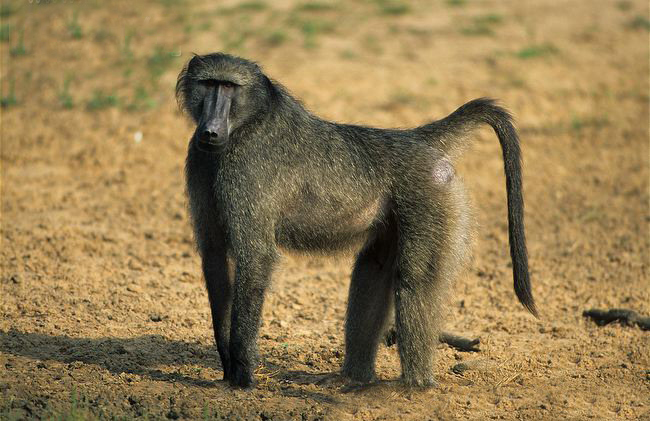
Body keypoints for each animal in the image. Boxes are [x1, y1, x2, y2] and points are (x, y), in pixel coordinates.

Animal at [176, 52, 537, 389]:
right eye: (208, 84)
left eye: (229, 87)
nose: (210, 130)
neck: (250, 120)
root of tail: (416, 140)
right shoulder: (199, 159)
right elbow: (216, 256)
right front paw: (227, 366)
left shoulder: (245, 165)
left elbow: (255, 257)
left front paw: (243, 373)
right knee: (372, 271)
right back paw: (355, 380)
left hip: (431, 197)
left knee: (414, 280)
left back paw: (414, 388)